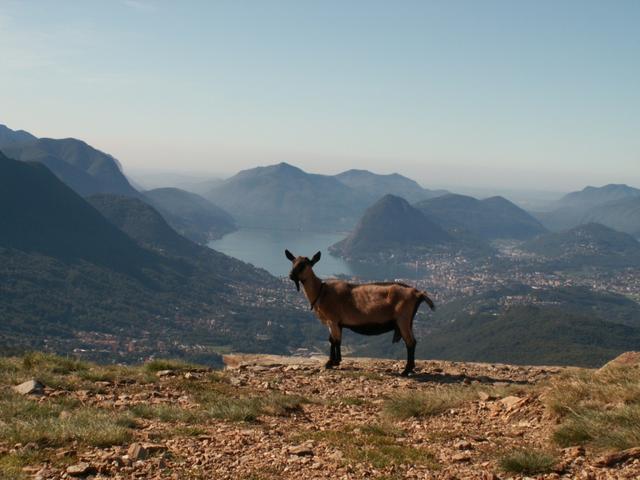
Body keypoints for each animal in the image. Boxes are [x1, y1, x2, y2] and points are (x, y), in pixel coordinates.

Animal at [284, 249, 436, 376]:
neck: (321, 292)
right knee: (412, 341)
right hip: (408, 321)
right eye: (293, 262)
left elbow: (335, 340)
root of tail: (417, 293)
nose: (291, 275)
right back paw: (410, 368)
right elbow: (333, 340)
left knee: (410, 342)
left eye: (304, 264)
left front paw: (332, 362)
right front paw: (333, 361)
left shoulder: (333, 320)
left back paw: (406, 370)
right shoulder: (334, 323)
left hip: (402, 319)